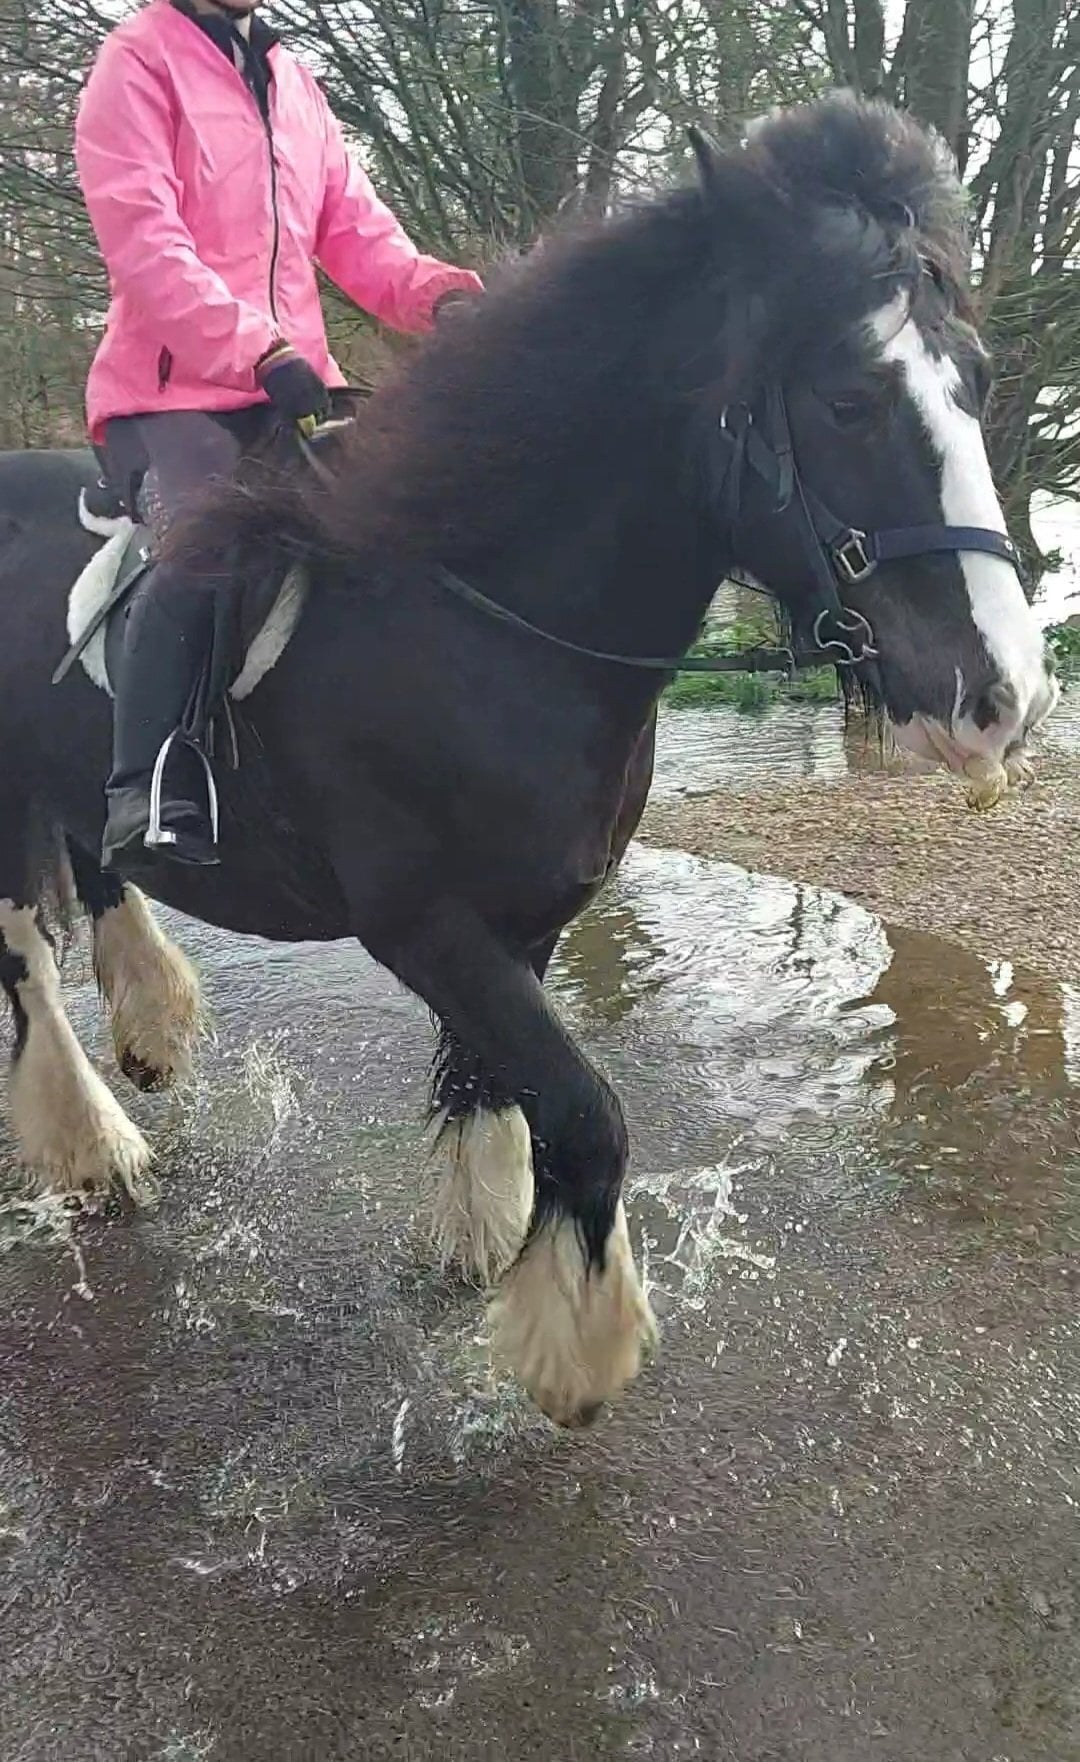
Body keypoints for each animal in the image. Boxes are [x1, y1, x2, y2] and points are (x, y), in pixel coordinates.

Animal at [0, 95, 1056, 1427]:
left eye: (975, 379)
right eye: (850, 401)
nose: (1003, 697)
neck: (483, 619)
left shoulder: (529, 913)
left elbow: (495, 1084)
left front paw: (480, 1242)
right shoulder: (420, 919)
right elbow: (586, 1107)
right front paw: (576, 1342)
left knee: (99, 871)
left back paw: (149, 1026)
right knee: (27, 961)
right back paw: (90, 1147)